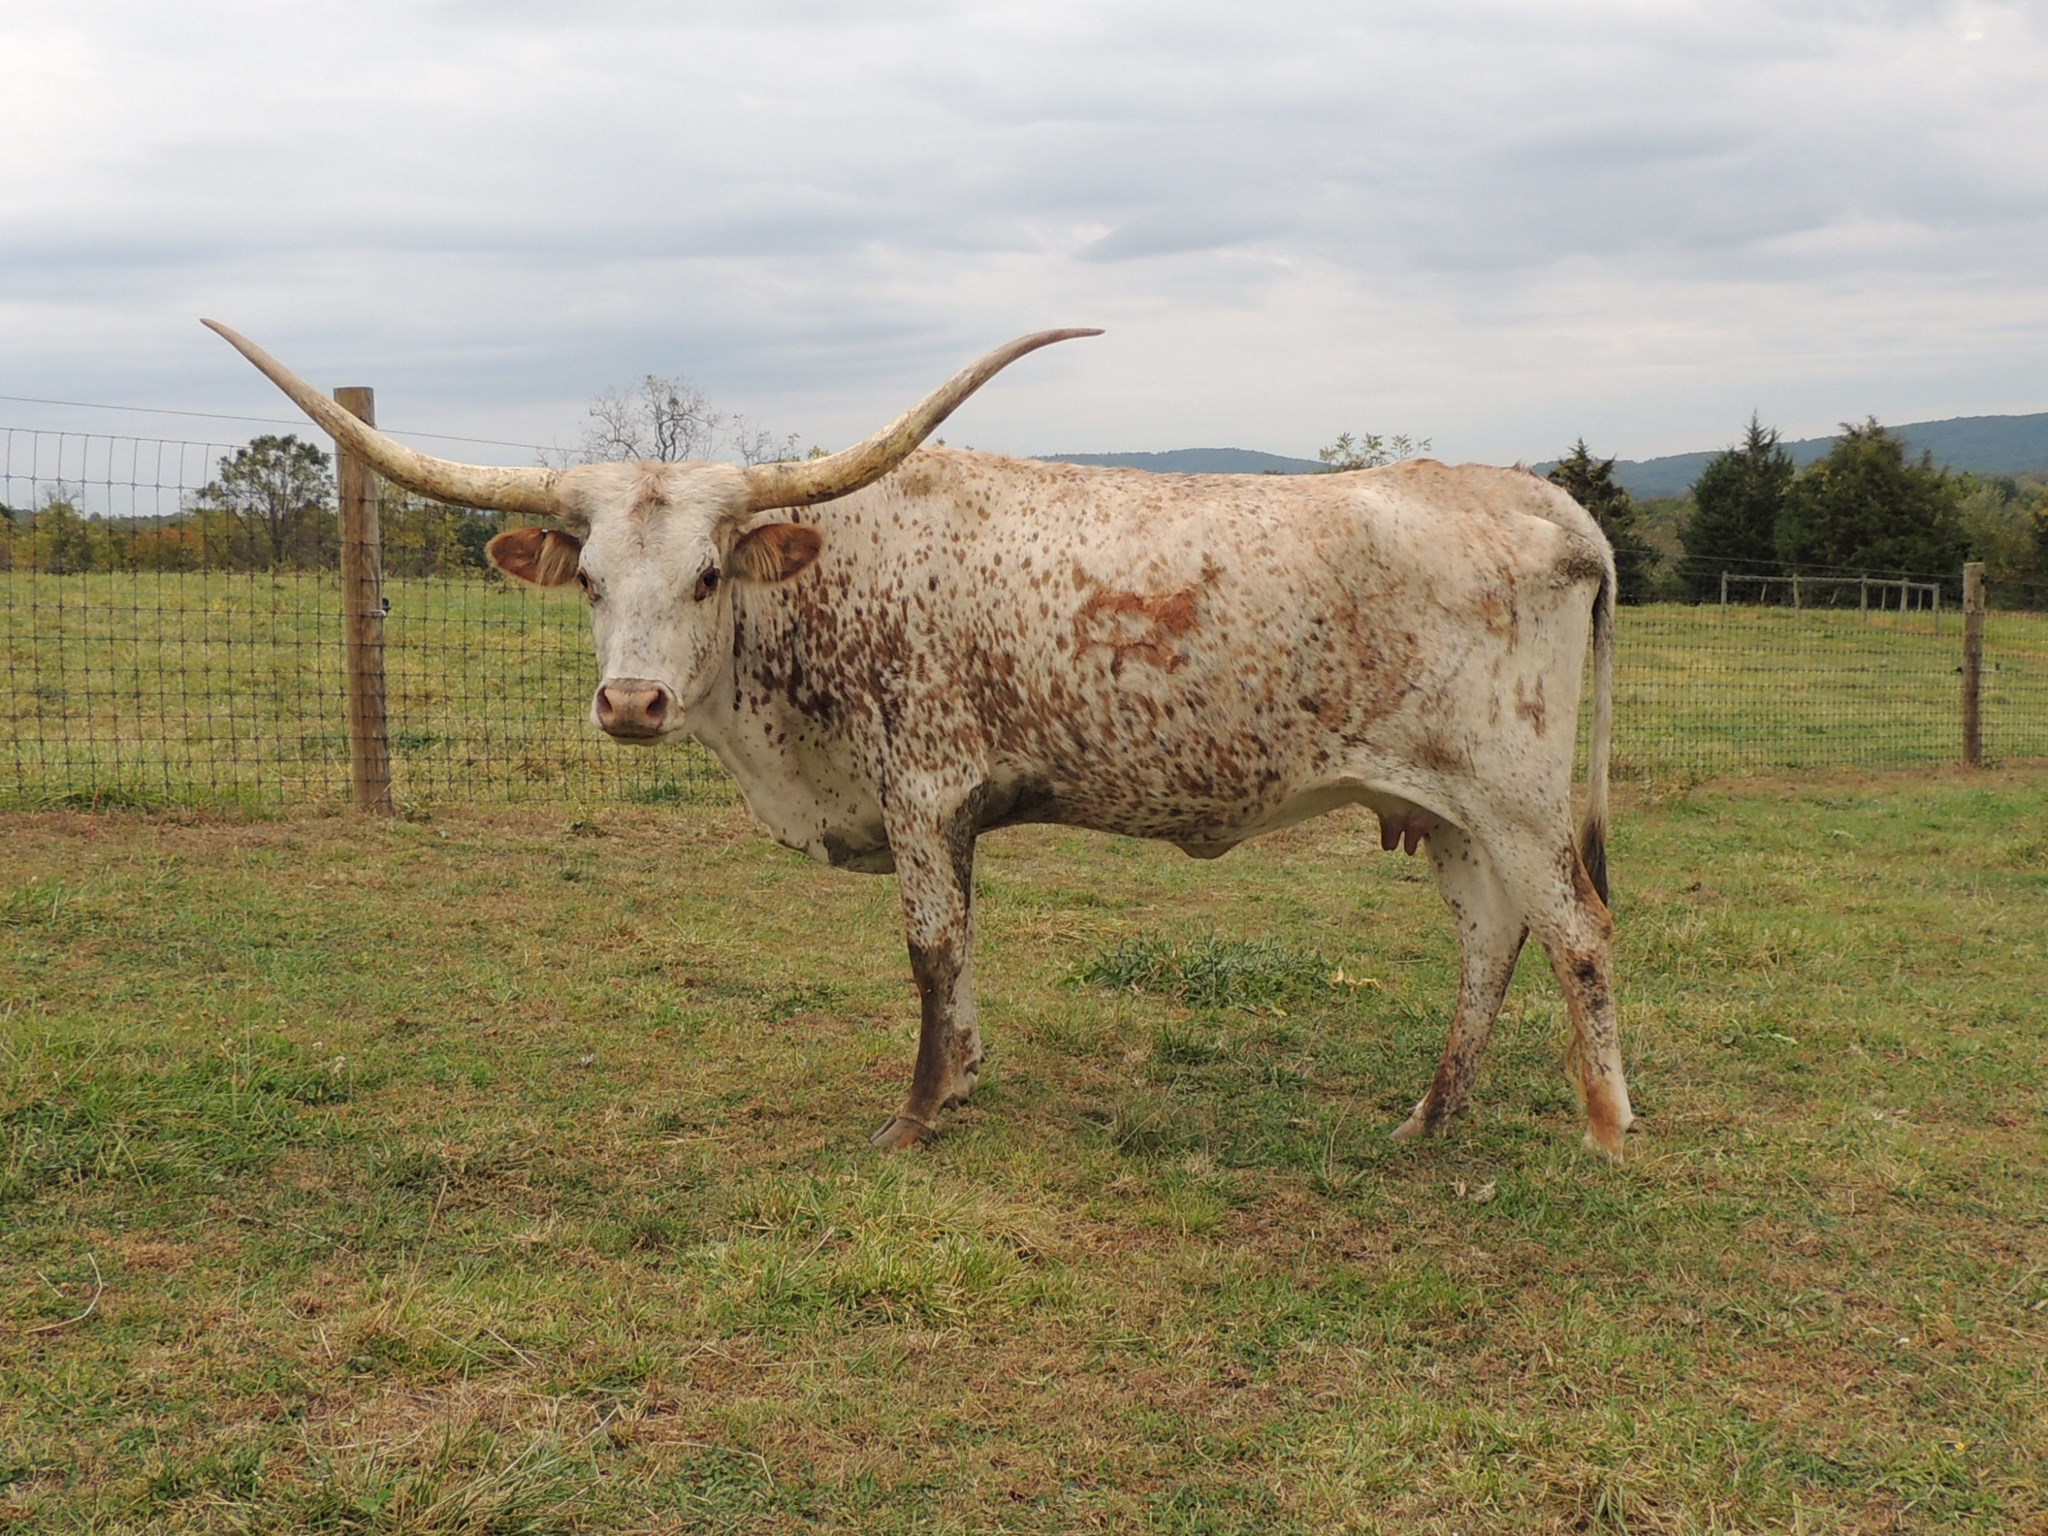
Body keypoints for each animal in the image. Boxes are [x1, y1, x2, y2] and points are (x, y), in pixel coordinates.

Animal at [205, 318, 1634, 1158]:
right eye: (593, 581)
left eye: (710, 576)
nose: (630, 706)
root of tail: (1542, 502)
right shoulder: (954, 812)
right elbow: (967, 944)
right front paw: (966, 1078)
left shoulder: (917, 787)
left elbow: (927, 950)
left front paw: (911, 1115)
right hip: (1448, 811)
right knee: (1488, 940)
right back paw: (1428, 1118)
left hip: (1512, 793)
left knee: (1574, 929)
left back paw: (1605, 1129)